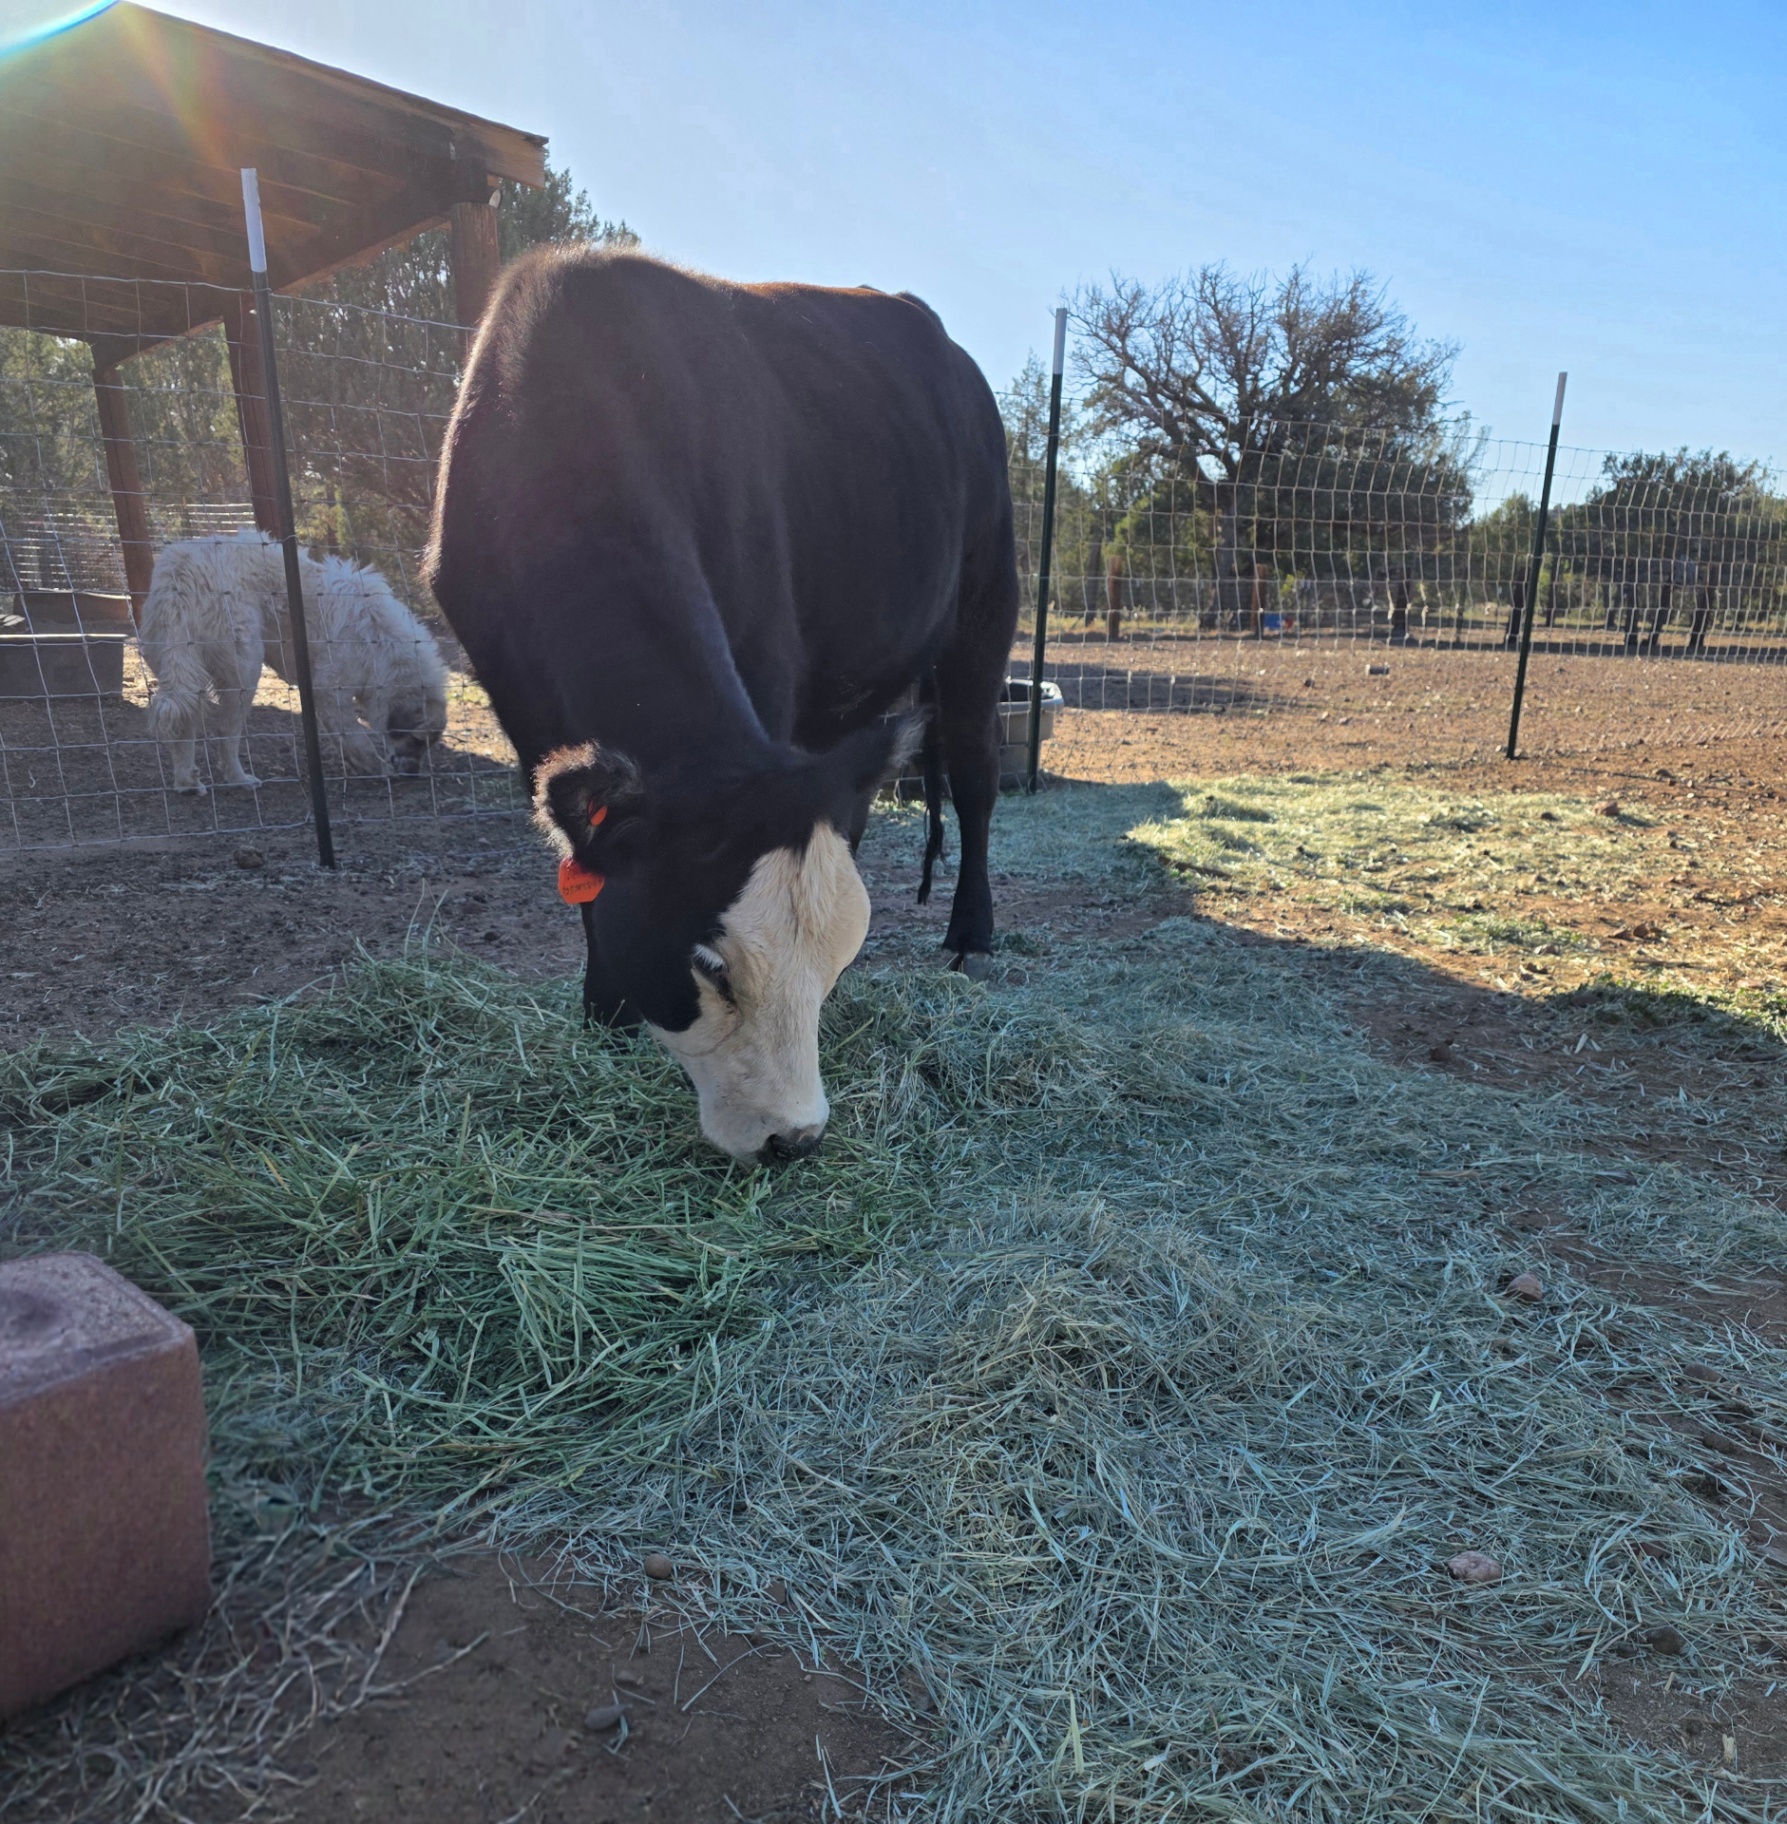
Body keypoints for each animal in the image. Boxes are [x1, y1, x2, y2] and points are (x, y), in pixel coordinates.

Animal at [424, 249, 1019, 1164]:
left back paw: (970, 935)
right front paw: (603, 1008)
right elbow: (584, 867)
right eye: (710, 968)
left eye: (834, 960)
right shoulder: (519, 700)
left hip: (988, 600)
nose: (794, 1138)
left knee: (977, 769)